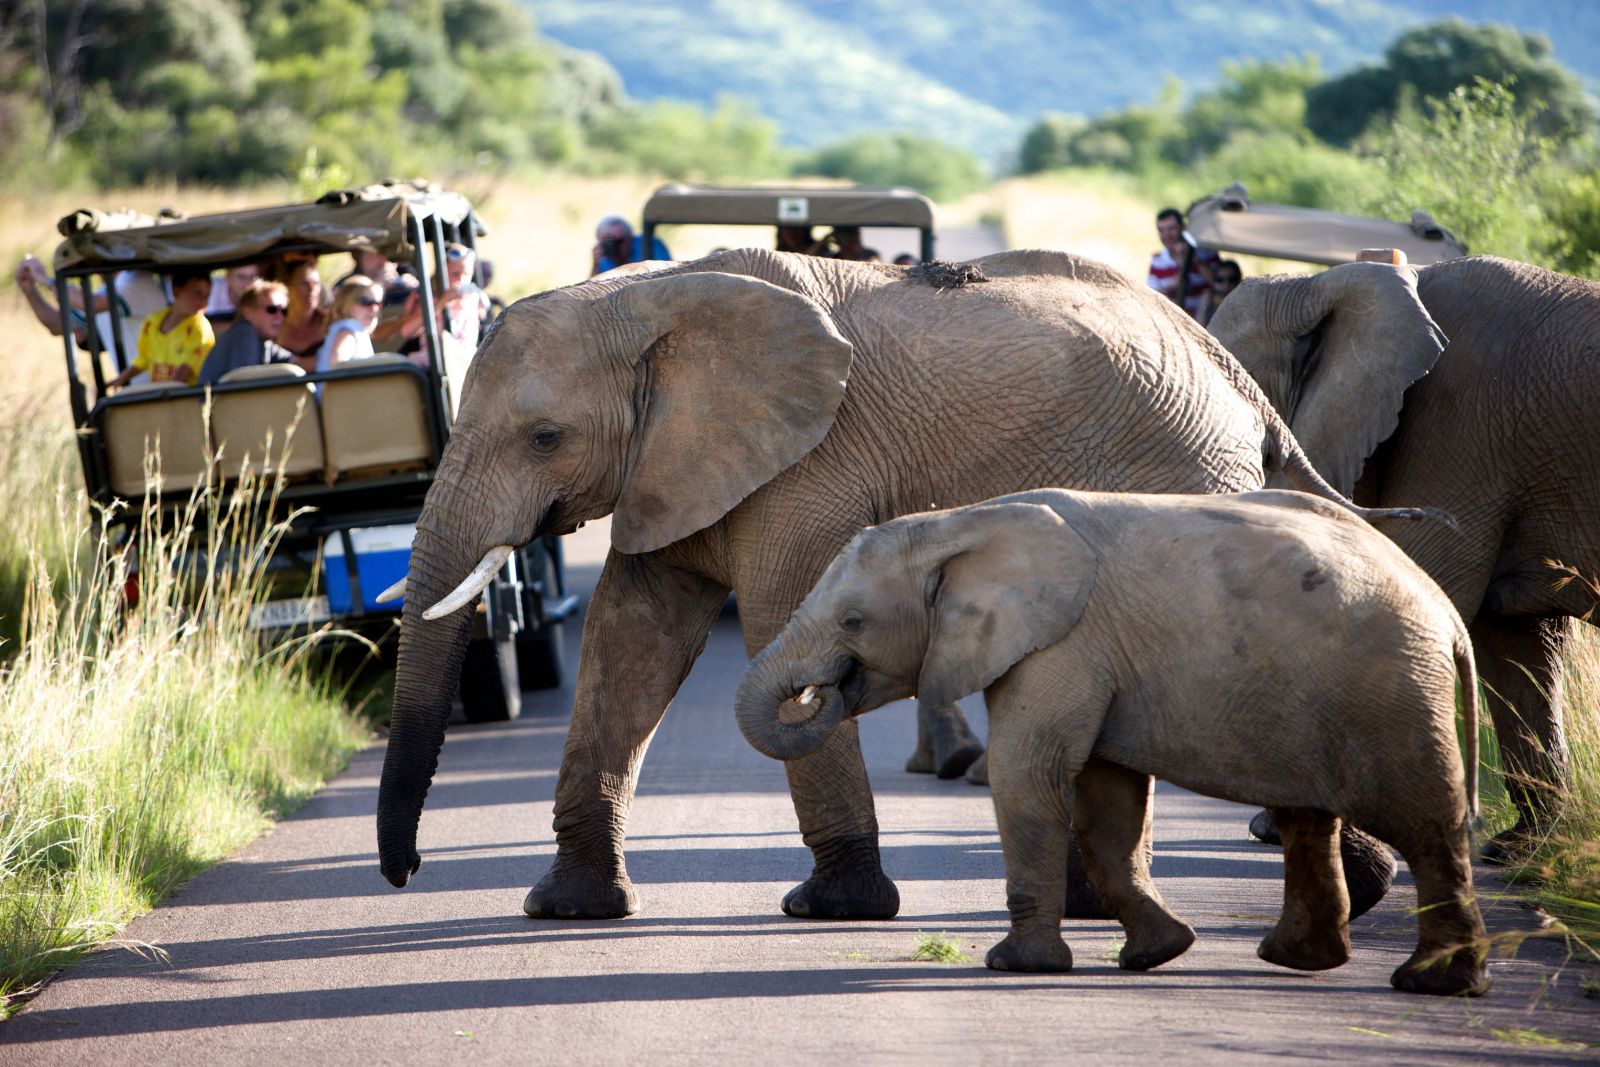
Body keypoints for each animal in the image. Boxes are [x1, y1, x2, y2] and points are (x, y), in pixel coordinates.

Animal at [380, 246, 1408, 921]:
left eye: (545, 437)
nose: (405, 872)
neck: (653, 298)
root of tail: (1236, 375)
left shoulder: (809, 464)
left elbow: (769, 616)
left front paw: (834, 907)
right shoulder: (666, 465)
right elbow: (631, 638)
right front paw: (567, 908)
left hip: (1179, 476)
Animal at [732, 489, 1484, 998]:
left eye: (853, 622)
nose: (822, 690)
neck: (958, 524)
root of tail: (1446, 612)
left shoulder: (1062, 644)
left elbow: (1028, 775)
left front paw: (1015, 966)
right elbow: (1107, 799)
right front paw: (1156, 955)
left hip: (1392, 689)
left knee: (1425, 824)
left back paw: (1433, 982)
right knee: (1308, 818)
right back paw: (1300, 959)